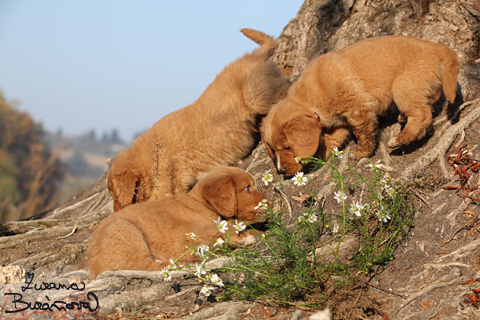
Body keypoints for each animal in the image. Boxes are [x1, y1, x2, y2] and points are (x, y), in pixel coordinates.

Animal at [88, 166, 268, 278]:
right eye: (248, 188)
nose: (270, 203)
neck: (201, 203)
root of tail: (93, 266)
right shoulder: (187, 236)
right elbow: (221, 229)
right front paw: (244, 237)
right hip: (124, 229)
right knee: (147, 266)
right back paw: (181, 264)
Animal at [109, 28, 288, 211]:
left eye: (114, 195)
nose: (115, 210)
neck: (150, 153)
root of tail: (253, 56)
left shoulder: (166, 184)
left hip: (258, 96)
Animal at [260, 35, 460, 175]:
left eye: (287, 147)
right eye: (273, 150)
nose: (281, 171)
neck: (309, 101)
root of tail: (434, 46)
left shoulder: (358, 109)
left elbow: (363, 134)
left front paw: (361, 153)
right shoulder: (339, 125)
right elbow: (330, 142)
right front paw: (317, 159)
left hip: (403, 87)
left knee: (422, 114)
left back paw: (400, 139)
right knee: (428, 102)